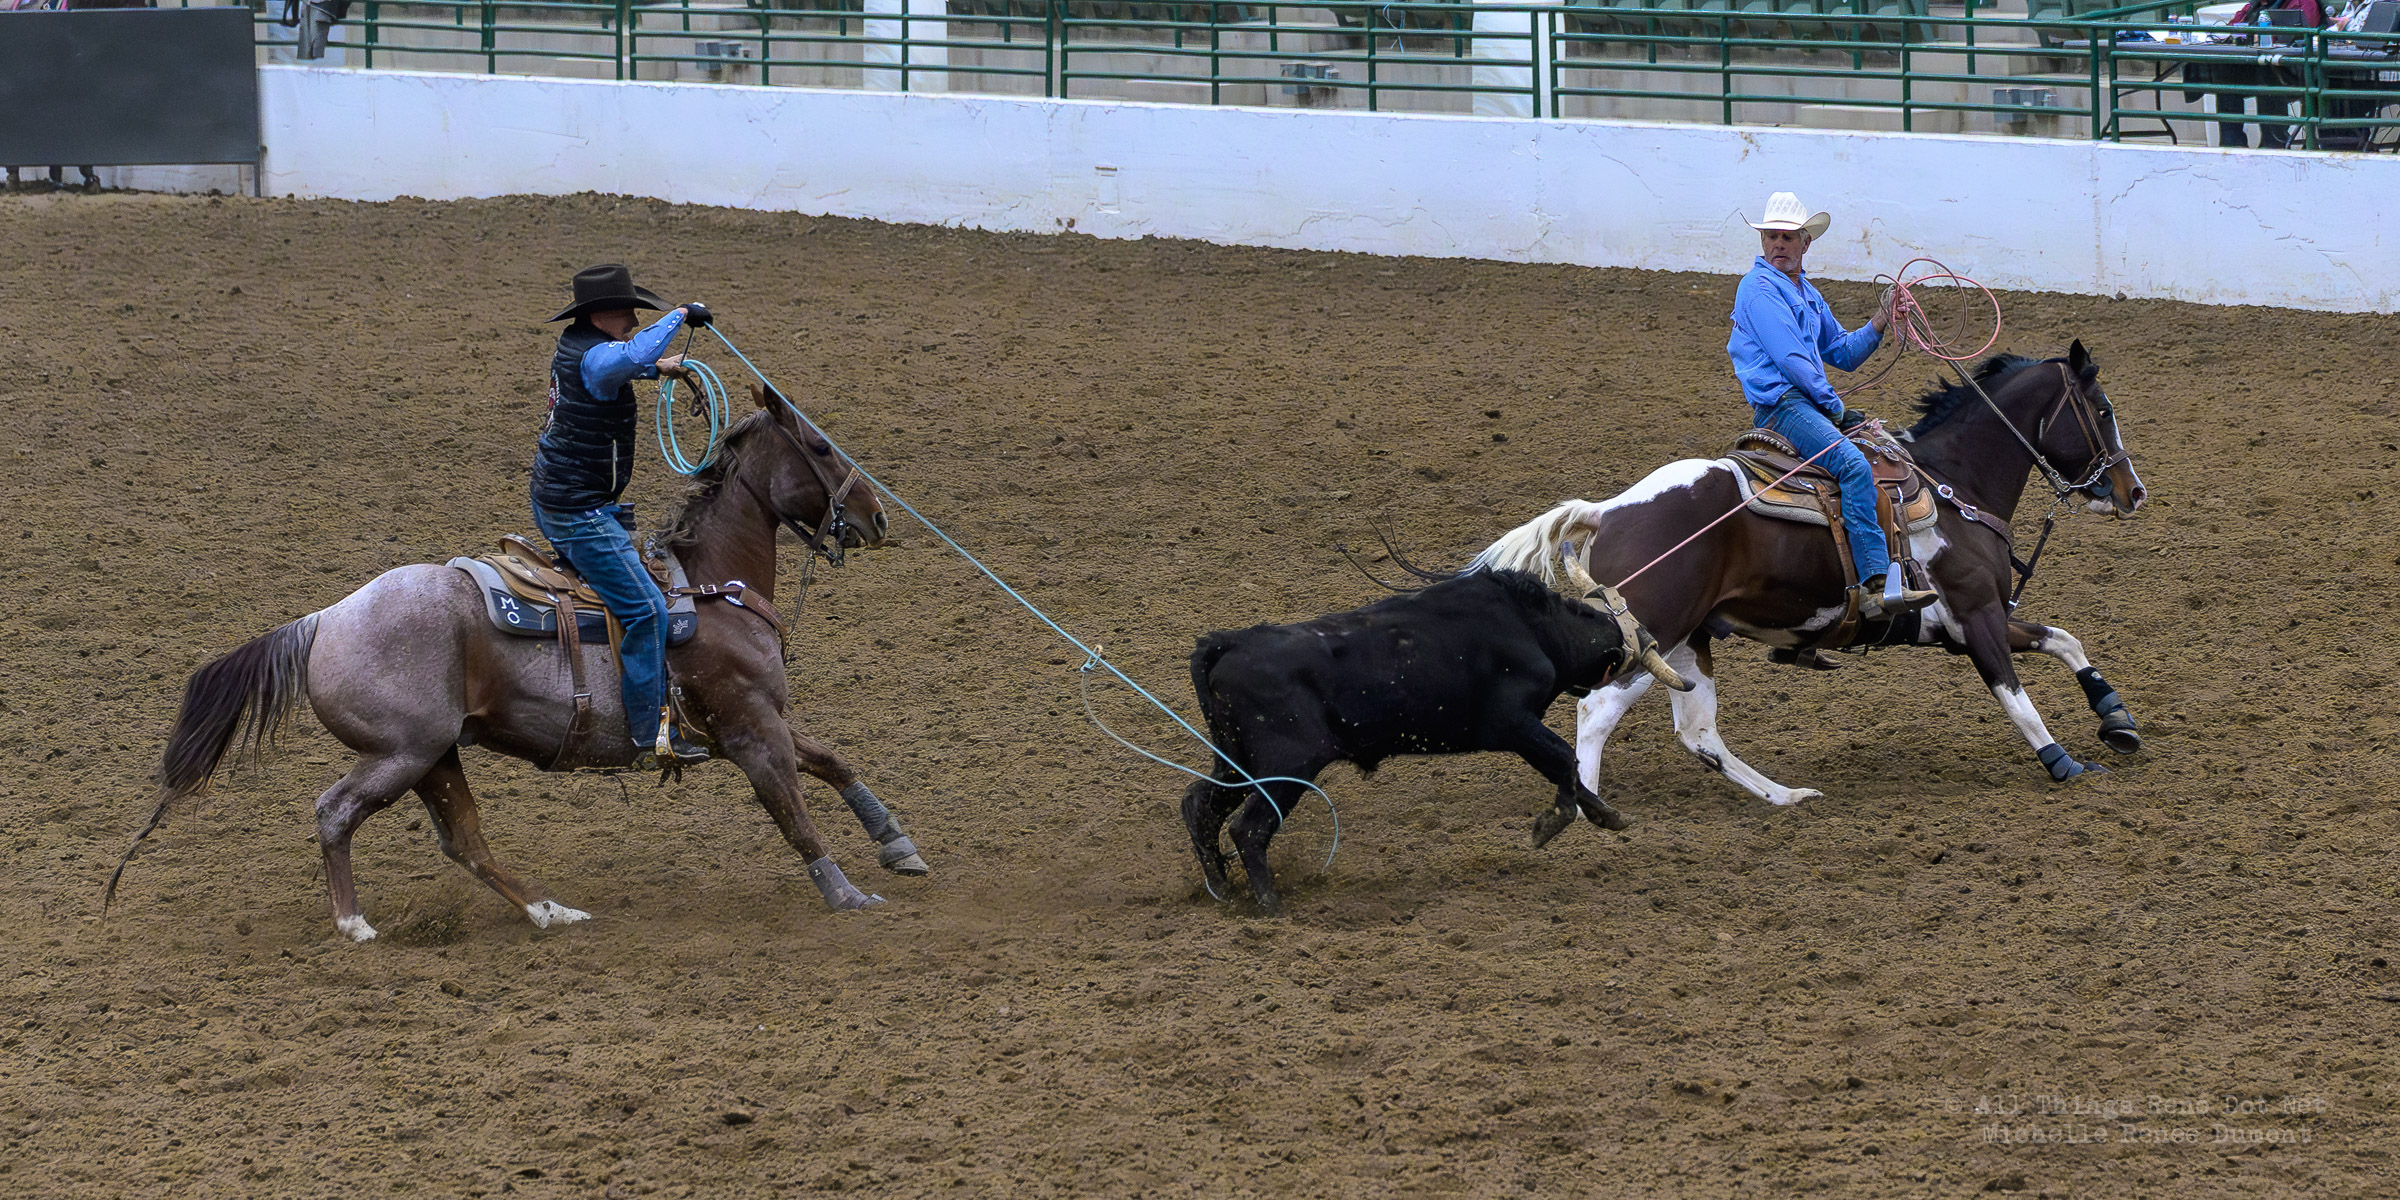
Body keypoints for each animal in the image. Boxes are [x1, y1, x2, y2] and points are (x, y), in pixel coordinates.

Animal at [118, 385, 917, 941]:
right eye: (820, 448)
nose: (877, 518)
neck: (711, 587)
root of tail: (323, 621)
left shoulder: (754, 723)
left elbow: (834, 760)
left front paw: (897, 845)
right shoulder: (749, 729)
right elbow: (794, 811)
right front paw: (846, 893)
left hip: (437, 755)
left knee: (464, 841)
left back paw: (549, 912)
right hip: (403, 754)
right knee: (336, 813)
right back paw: (356, 924)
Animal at [1181, 560, 1688, 914]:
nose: (1645, 633)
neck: (1532, 628)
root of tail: (1228, 643)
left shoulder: (1521, 731)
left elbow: (1567, 768)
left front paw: (1607, 815)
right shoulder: (1513, 724)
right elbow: (1564, 759)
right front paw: (1550, 824)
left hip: (1236, 762)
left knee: (1198, 804)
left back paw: (1222, 887)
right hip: (1286, 769)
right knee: (1247, 827)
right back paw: (1269, 904)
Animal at [1469, 341, 2148, 807]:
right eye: (2103, 410)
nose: (2133, 491)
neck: (1955, 487)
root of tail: (1607, 512)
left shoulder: (1962, 626)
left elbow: (2066, 641)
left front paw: (2116, 719)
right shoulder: (1977, 618)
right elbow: (2018, 699)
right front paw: (2065, 763)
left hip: (1688, 644)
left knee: (1698, 731)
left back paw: (1786, 797)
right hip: (1653, 635)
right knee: (1598, 711)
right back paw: (1590, 810)